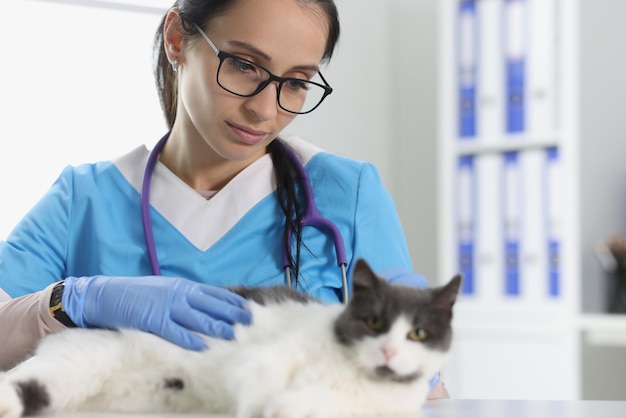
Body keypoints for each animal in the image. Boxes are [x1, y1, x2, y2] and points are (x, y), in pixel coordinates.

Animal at [0, 258, 458, 418]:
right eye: (374, 322)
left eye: (418, 333)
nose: (389, 351)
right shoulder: (268, 357)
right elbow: (260, 381)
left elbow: (307, 403)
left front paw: (284, 408)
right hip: (84, 358)